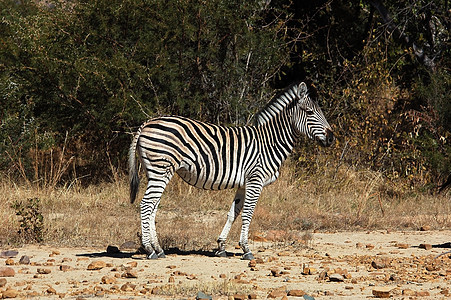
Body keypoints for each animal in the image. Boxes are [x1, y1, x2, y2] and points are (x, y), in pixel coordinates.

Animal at [129, 82, 334, 260]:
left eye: (321, 112)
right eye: (309, 112)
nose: (332, 138)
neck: (269, 142)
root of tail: (148, 122)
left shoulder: (244, 184)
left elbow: (233, 213)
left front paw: (221, 246)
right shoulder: (255, 179)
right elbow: (248, 214)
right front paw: (246, 249)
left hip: (156, 172)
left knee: (153, 206)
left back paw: (158, 248)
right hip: (160, 169)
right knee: (146, 204)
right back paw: (149, 250)